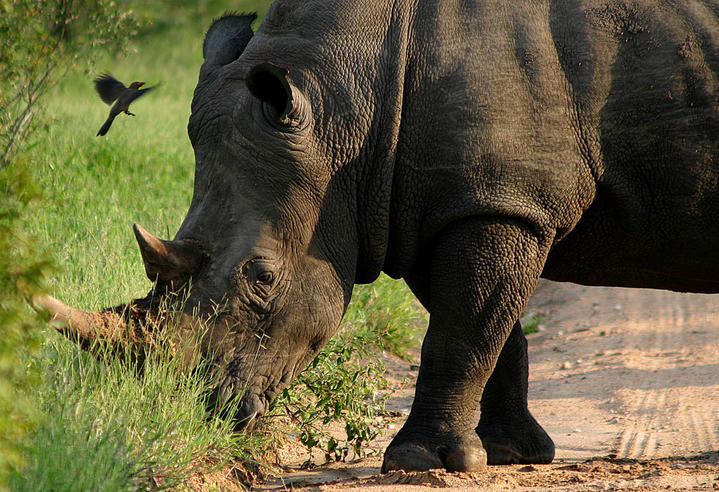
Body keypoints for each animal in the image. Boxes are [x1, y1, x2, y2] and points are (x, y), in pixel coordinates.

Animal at [36, 0, 719, 473]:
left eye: (262, 277)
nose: (200, 407)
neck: (347, 102)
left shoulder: (500, 201)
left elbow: (462, 329)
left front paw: (421, 462)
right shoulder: (425, 202)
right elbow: (490, 328)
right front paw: (511, 454)